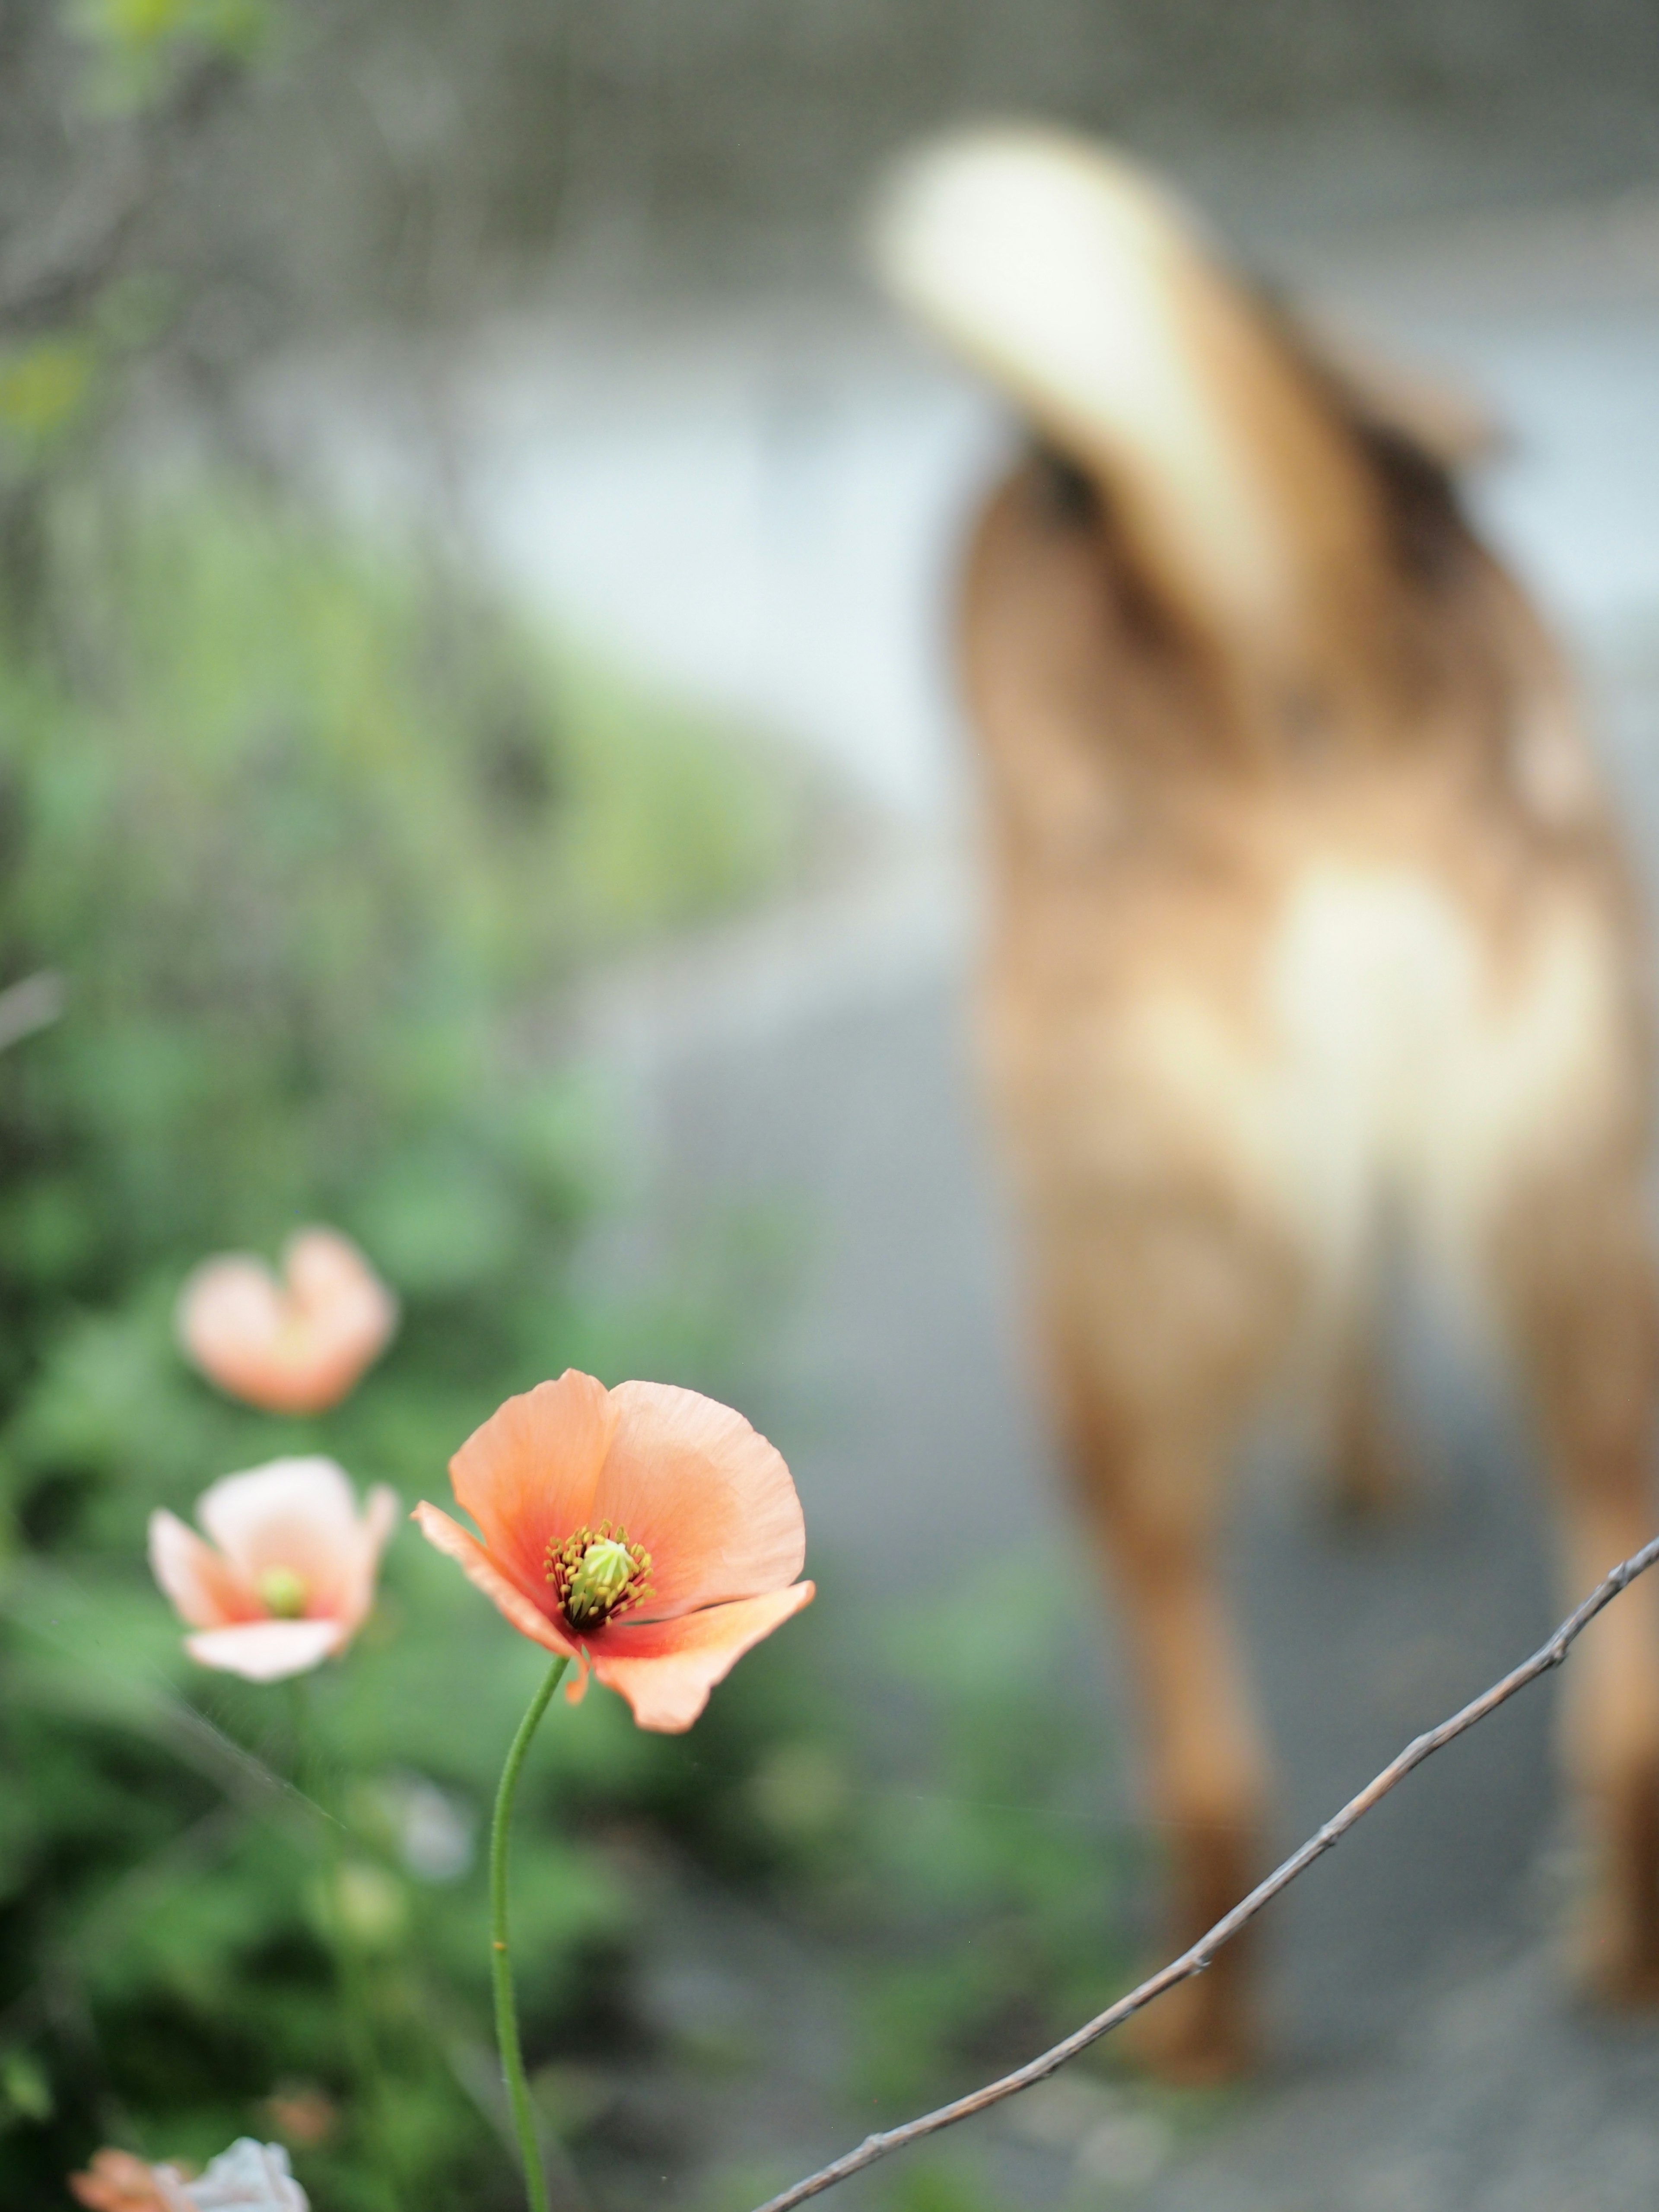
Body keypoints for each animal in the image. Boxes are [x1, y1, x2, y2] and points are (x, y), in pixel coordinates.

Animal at [876, 129, 1659, 2079]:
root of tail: (1308, 659)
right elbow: (1361, 1297)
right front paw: (1373, 1458)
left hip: (1102, 1353)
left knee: (1211, 1768)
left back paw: (1195, 2038)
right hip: (1599, 1285)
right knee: (1629, 1736)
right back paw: (1621, 1963)